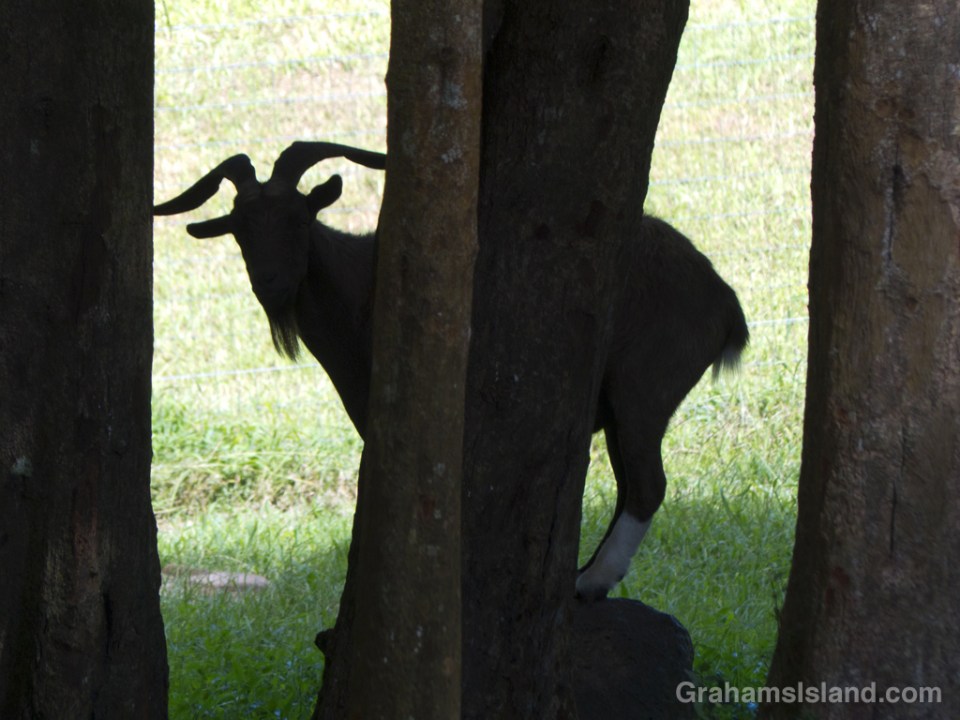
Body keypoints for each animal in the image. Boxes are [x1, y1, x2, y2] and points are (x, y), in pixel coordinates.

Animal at [153, 141, 749, 601]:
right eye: (240, 229)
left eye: (300, 219)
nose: (274, 286)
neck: (363, 288)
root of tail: (723, 302)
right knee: (631, 485)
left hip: (643, 388)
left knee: (648, 485)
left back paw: (589, 582)